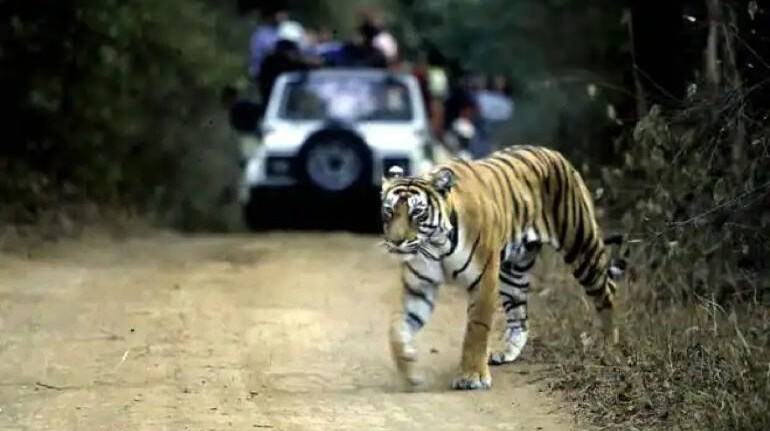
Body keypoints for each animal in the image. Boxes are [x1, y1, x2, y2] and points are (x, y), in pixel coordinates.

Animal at [378, 145, 624, 392]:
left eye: (417, 213)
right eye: (389, 211)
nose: (396, 242)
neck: (436, 245)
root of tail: (554, 153)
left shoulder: (483, 281)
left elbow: (476, 329)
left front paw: (472, 377)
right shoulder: (419, 288)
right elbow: (397, 328)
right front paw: (409, 372)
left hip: (582, 246)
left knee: (607, 290)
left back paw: (607, 344)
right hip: (513, 272)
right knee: (519, 316)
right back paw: (506, 352)